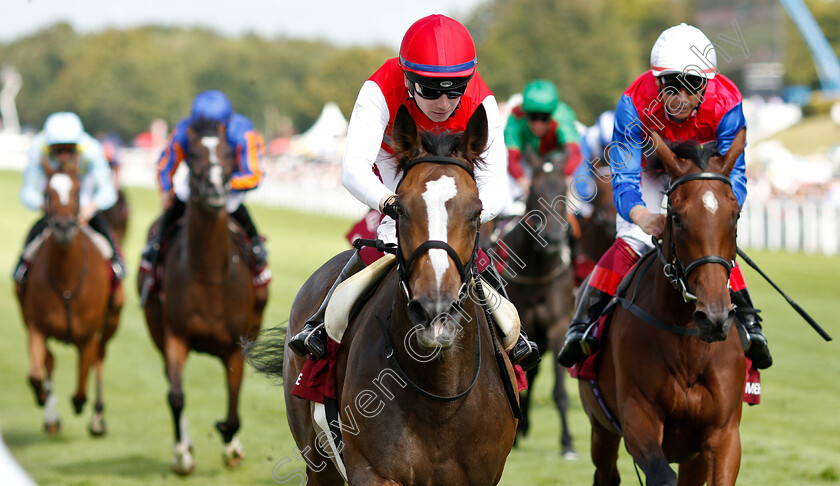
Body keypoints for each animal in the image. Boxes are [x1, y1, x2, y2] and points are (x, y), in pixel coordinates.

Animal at [14, 169, 124, 434]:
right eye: (47, 192)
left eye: (76, 191)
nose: (64, 227)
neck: (66, 279)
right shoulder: (37, 326)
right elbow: (37, 373)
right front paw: (44, 399)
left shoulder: (88, 333)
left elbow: (85, 370)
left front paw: (80, 402)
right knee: (50, 362)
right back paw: (51, 415)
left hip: (112, 319)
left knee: (99, 358)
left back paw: (97, 417)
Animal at [139, 119, 268, 476]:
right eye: (194, 154)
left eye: (226, 153)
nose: (214, 190)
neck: (209, 273)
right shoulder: (175, 336)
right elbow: (176, 396)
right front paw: (182, 454)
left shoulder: (237, 345)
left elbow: (234, 399)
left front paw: (231, 445)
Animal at [249, 104, 516, 484]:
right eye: (399, 209)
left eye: (476, 211)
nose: (434, 311)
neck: (440, 393)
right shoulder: (374, 471)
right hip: (317, 459)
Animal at [576, 130, 748, 486]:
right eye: (677, 218)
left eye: (735, 215)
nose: (714, 318)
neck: (689, 344)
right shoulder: (638, 418)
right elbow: (661, 475)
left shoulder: (723, 434)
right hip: (601, 428)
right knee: (606, 472)